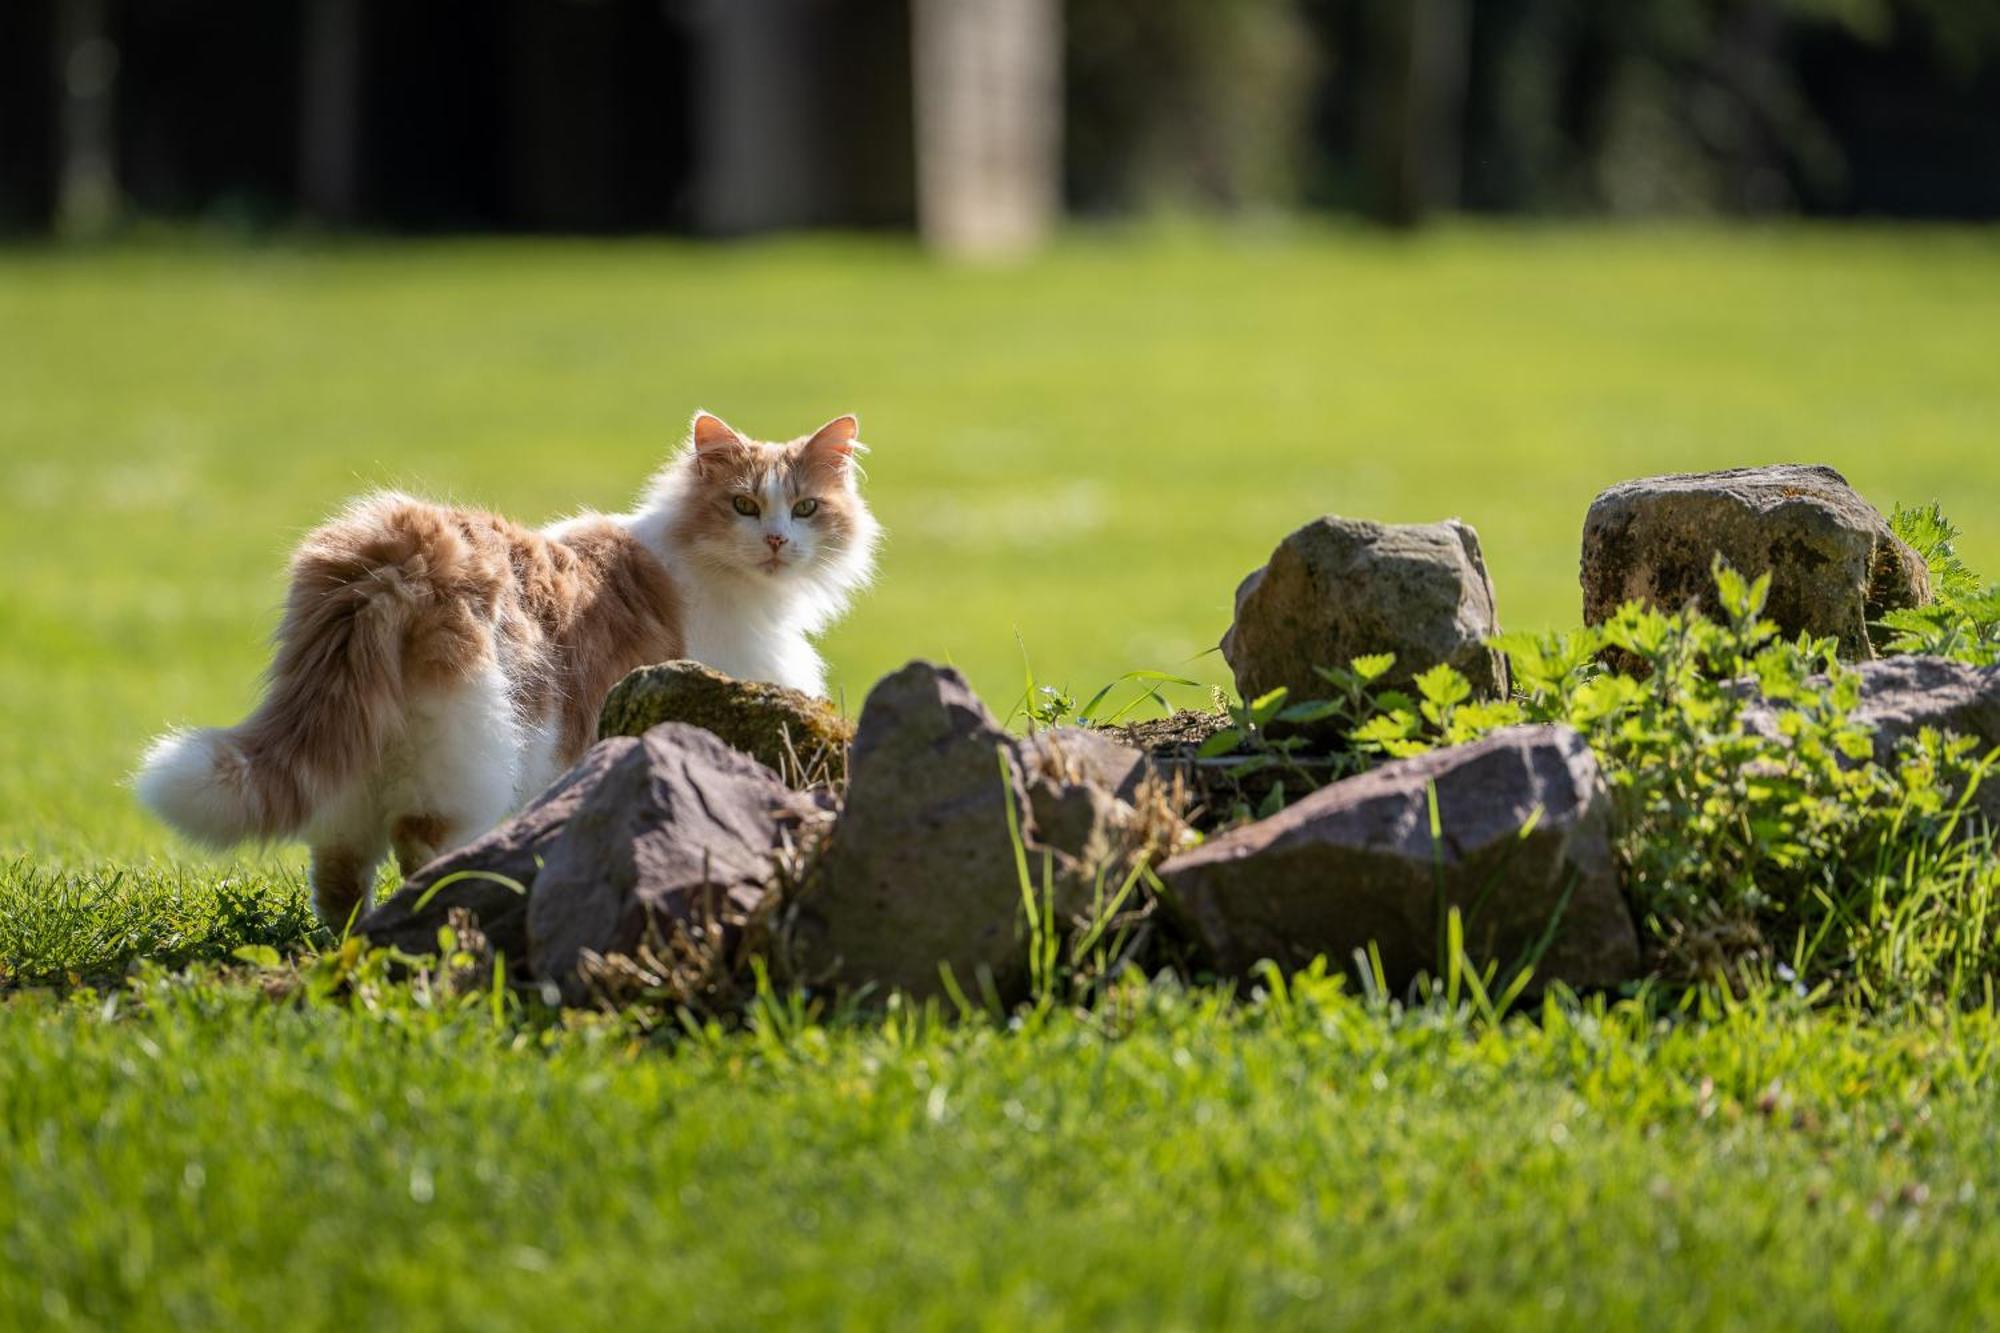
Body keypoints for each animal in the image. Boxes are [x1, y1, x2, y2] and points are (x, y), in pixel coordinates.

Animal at [137, 412, 880, 924]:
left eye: (806, 507)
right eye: (743, 506)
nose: (778, 540)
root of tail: (391, 549)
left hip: (357, 764)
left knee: (339, 870)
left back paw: (352, 944)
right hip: (471, 751)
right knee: (422, 843)